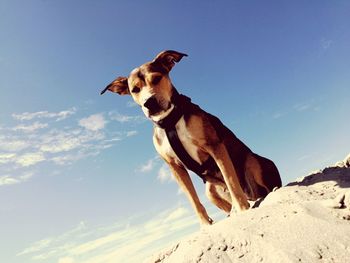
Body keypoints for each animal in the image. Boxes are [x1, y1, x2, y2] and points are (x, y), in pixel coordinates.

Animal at [100, 50, 282, 226]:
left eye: (157, 78)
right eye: (135, 90)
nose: (149, 102)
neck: (170, 120)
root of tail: (251, 194)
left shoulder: (214, 146)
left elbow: (231, 180)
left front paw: (243, 209)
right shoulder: (175, 167)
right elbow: (193, 200)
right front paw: (205, 225)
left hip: (252, 161)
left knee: (262, 187)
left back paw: (263, 195)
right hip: (210, 190)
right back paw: (233, 212)